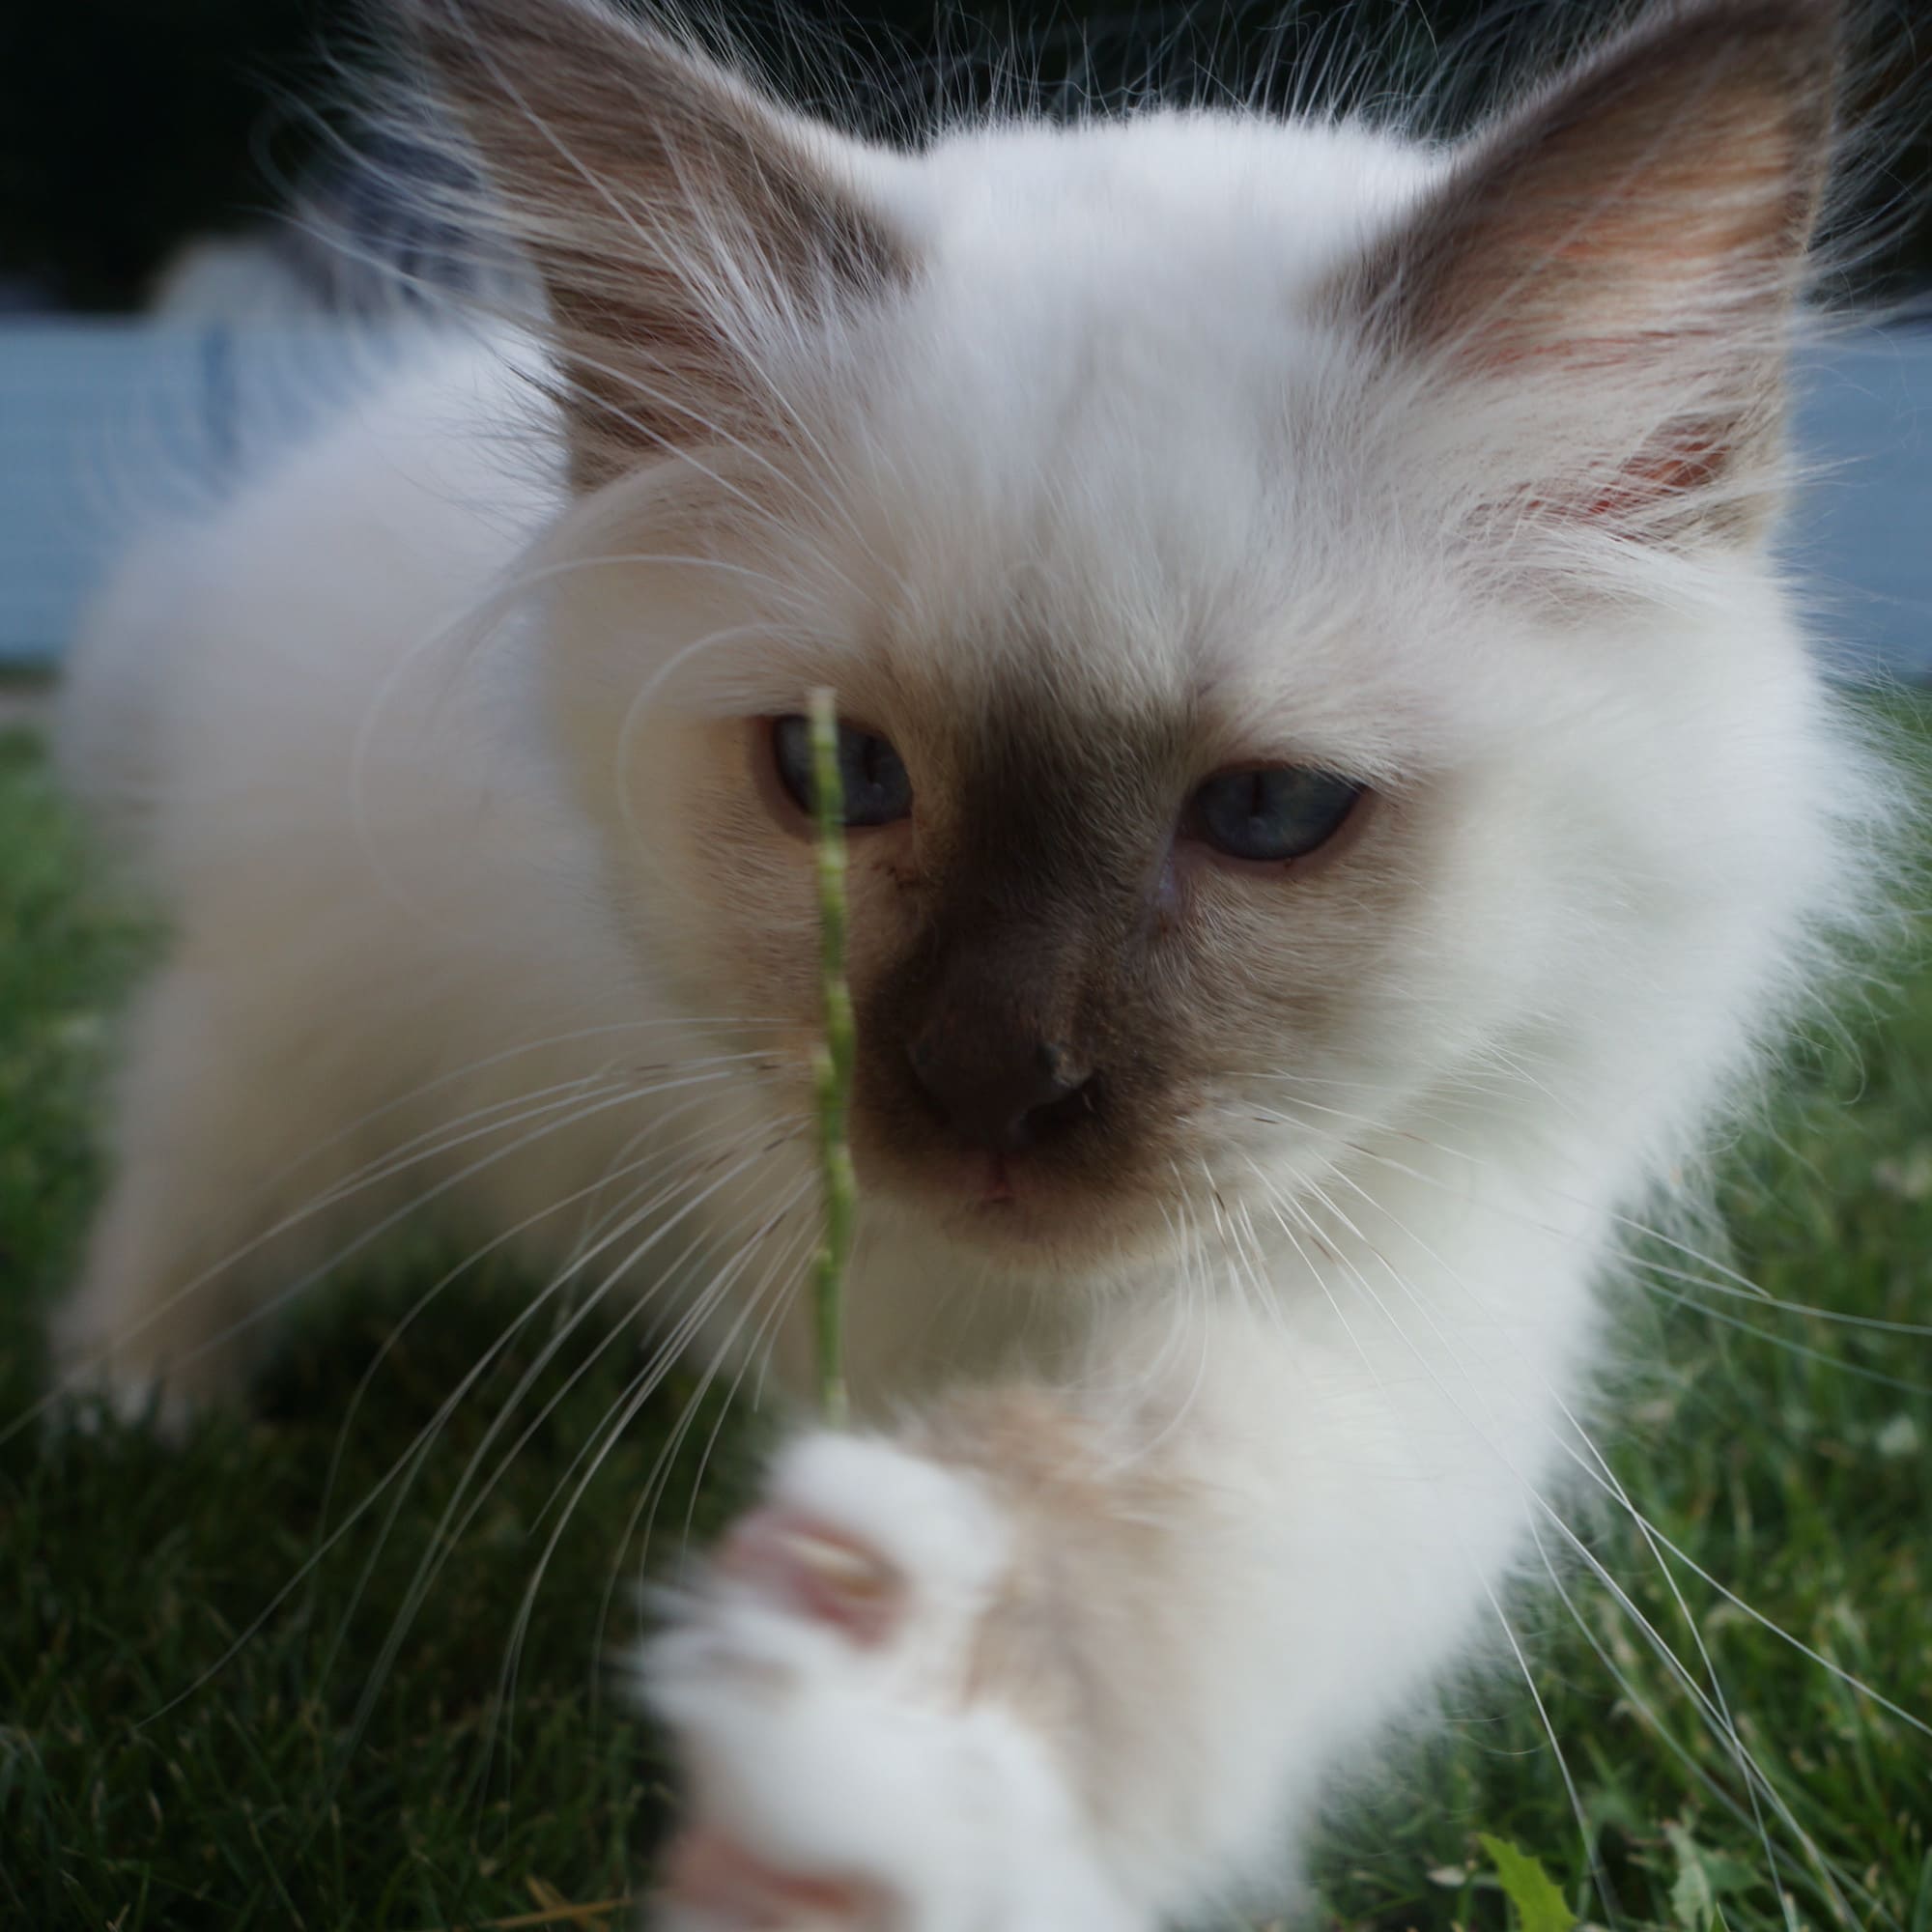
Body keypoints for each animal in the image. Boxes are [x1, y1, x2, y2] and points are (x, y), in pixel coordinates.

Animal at [52, 0, 1893, 1924]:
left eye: (1274, 812)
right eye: (836, 774)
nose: (994, 1087)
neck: (1017, 1304)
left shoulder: (1396, 1321)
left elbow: (1158, 1527)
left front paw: (868, 1778)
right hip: (306, 1043)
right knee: (187, 1190)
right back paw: (134, 1415)